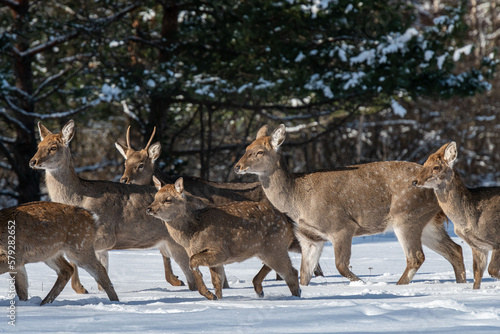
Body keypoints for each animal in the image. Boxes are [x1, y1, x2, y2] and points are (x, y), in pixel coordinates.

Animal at [28, 120, 197, 294]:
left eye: (53, 147)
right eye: (39, 145)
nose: (33, 162)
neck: (78, 198)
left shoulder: (105, 234)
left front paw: (81, 289)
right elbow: (102, 278)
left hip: (178, 243)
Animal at [146, 177, 300, 300]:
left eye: (168, 200)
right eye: (155, 197)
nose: (149, 208)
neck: (191, 234)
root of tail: (288, 221)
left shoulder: (220, 250)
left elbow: (192, 262)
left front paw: (208, 294)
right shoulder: (215, 260)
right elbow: (217, 282)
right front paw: (216, 298)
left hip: (275, 246)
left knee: (291, 273)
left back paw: (295, 298)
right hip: (267, 250)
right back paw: (261, 291)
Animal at [233, 124, 464, 286]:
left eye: (259, 152)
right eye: (246, 148)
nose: (237, 166)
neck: (298, 200)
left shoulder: (342, 226)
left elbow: (341, 266)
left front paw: (362, 284)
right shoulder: (310, 238)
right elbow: (305, 275)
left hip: (406, 216)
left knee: (416, 257)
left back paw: (398, 286)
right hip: (428, 222)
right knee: (456, 249)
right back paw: (461, 284)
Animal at [412, 142, 500, 288]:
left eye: (436, 167)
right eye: (424, 164)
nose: (415, 181)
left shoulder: (497, 240)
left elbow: (492, 270)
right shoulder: (478, 247)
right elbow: (477, 275)